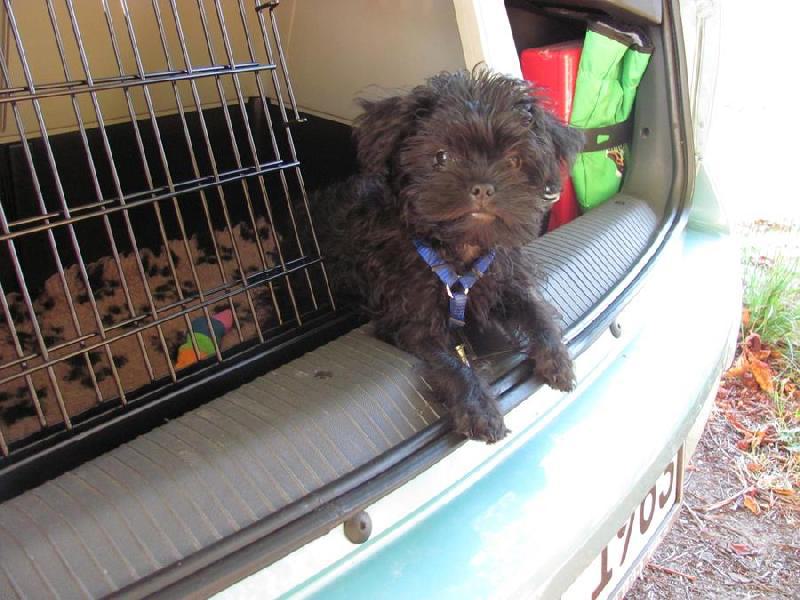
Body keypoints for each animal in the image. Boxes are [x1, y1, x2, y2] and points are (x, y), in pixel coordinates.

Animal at [316, 69, 584, 442]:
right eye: (441, 157)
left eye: (514, 160)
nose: (483, 186)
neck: (461, 251)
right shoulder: (410, 320)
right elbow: (452, 363)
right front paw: (479, 409)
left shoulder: (503, 282)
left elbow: (537, 312)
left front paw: (557, 358)